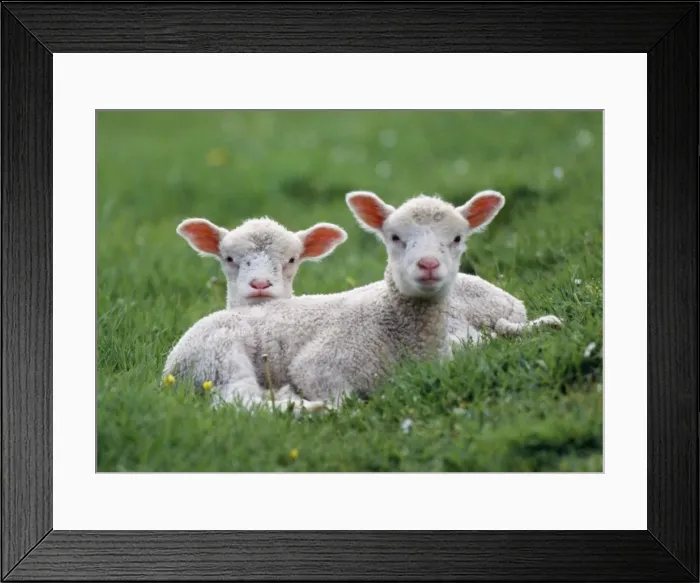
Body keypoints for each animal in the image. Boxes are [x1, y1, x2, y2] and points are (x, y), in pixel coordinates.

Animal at [163, 189, 524, 411]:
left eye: (458, 238)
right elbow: (342, 401)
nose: (429, 265)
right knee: (241, 401)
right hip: (218, 357)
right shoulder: (319, 365)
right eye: (394, 237)